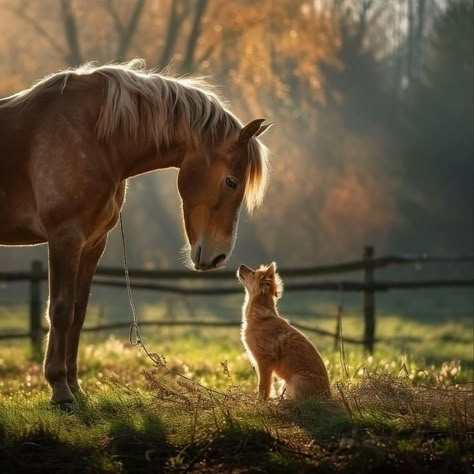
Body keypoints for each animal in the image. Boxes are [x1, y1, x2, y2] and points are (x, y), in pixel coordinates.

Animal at [0, 59, 272, 404]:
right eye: (231, 182)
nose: (218, 256)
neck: (94, 135)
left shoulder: (92, 243)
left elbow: (78, 312)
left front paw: (76, 387)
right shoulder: (65, 237)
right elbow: (60, 310)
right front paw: (60, 390)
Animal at [236, 262, 330, 400]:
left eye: (253, 273)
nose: (241, 265)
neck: (261, 317)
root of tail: (328, 395)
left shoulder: (264, 361)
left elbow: (263, 386)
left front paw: (260, 401)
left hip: (297, 379)